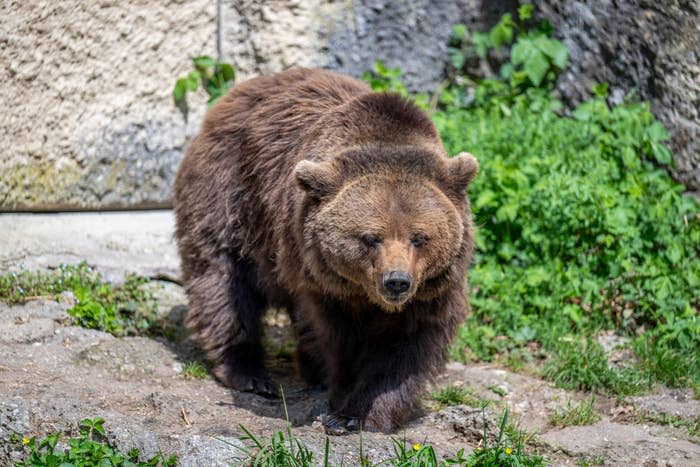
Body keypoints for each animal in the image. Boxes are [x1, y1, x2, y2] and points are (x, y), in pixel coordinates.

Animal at [173, 67, 478, 434]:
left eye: (419, 237)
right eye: (370, 237)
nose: (396, 281)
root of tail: (237, 92)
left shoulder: (431, 290)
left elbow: (408, 347)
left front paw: (361, 412)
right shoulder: (320, 281)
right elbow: (332, 337)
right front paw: (340, 398)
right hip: (229, 194)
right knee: (222, 280)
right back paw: (249, 372)